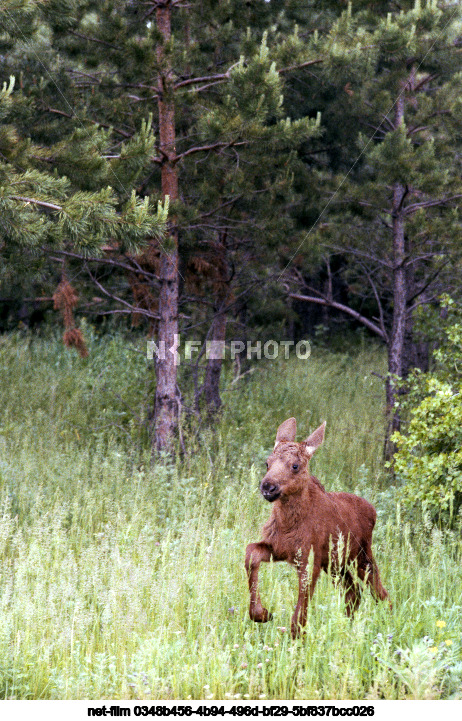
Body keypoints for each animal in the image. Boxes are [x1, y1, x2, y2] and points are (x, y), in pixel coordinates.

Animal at [245, 417, 390, 638]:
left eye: (295, 466)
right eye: (267, 463)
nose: (268, 487)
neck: (288, 524)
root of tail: (373, 510)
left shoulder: (309, 559)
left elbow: (300, 612)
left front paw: (297, 639)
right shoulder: (280, 549)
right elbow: (250, 553)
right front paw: (262, 614)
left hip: (361, 556)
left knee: (379, 591)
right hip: (334, 563)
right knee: (354, 592)